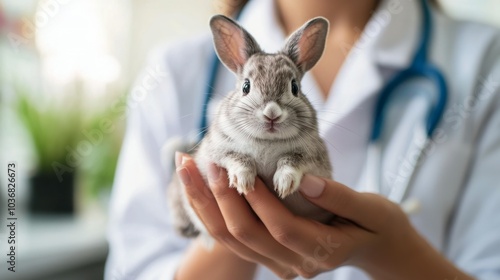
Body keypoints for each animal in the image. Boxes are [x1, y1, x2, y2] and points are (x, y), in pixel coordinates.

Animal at [169, 14, 336, 246]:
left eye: (294, 87)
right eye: (246, 87)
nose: (272, 113)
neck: (267, 140)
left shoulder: (313, 159)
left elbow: (292, 160)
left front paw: (284, 184)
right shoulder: (218, 152)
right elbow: (237, 157)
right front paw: (244, 181)